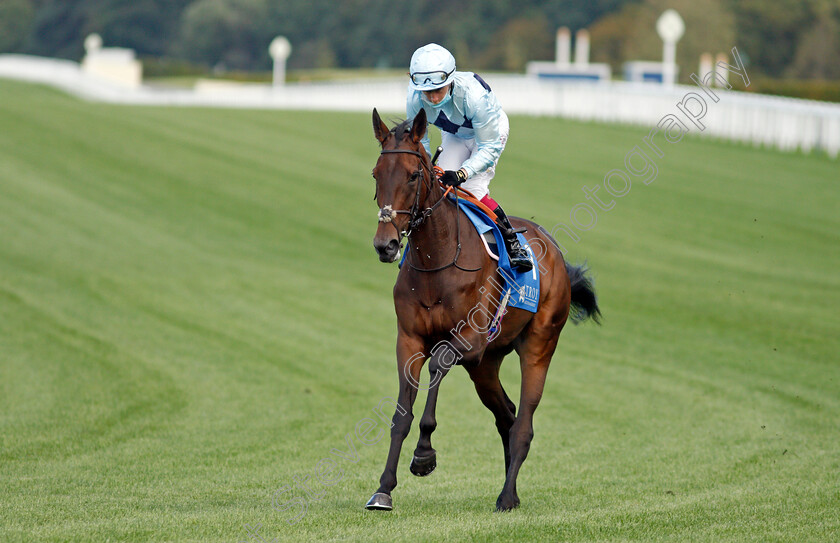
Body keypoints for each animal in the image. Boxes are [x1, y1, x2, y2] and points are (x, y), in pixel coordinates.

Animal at [366, 107, 596, 516]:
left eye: (413, 175)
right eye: (376, 174)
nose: (386, 244)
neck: (437, 261)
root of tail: (554, 251)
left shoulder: (469, 340)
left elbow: (439, 363)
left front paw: (424, 456)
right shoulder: (409, 340)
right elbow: (401, 413)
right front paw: (383, 489)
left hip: (538, 345)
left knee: (524, 423)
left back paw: (505, 497)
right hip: (486, 365)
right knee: (506, 416)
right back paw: (512, 492)